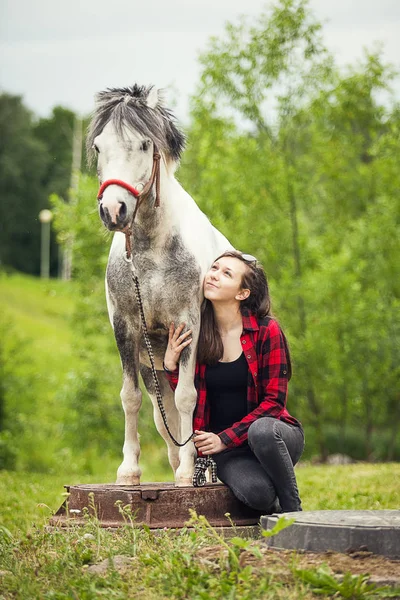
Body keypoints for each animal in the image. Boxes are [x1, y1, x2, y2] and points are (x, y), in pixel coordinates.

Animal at [86, 85, 233, 488]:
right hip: (153, 367)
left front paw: (185, 473)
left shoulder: (188, 325)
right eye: (99, 147)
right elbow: (130, 398)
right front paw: (129, 471)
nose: (114, 211)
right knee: (163, 419)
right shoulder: (125, 327)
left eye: (142, 145)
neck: (151, 250)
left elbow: (187, 399)